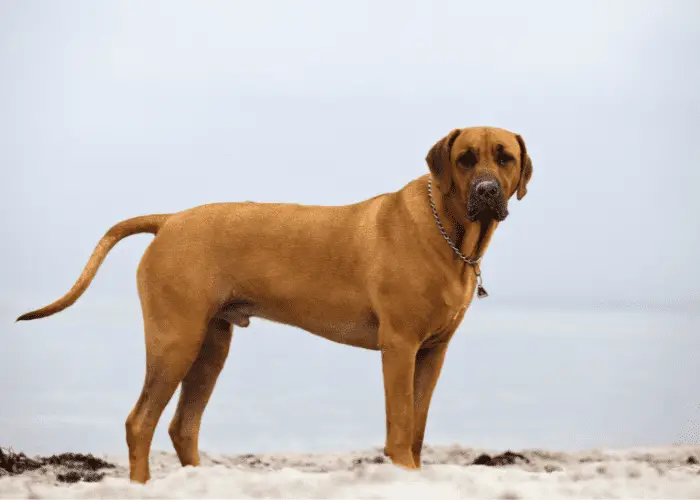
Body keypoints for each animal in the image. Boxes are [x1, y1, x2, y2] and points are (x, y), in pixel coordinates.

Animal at [19, 127, 536, 482]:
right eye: (465, 159)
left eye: (504, 158)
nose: (487, 191)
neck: (449, 230)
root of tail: (169, 220)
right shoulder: (400, 347)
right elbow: (401, 421)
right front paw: (403, 473)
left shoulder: (432, 351)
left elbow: (419, 424)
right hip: (175, 339)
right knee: (140, 421)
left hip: (211, 345)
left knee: (183, 426)